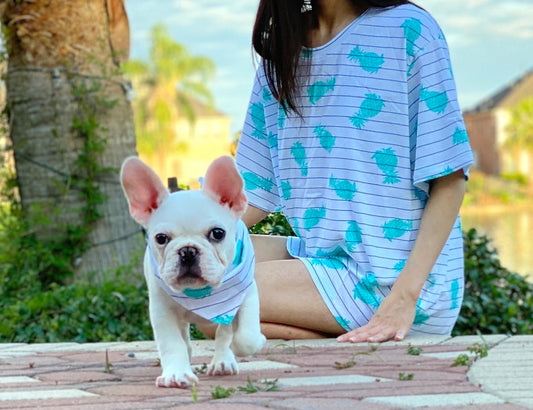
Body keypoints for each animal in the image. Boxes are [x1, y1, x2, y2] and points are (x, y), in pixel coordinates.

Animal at [118, 156, 264, 388]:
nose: (187, 251)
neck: (200, 292)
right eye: (160, 238)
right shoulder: (162, 311)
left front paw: (253, 342)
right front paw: (176, 373)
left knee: (224, 333)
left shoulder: (246, 295)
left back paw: (223, 362)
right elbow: (172, 343)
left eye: (218, 233)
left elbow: (245, 337)